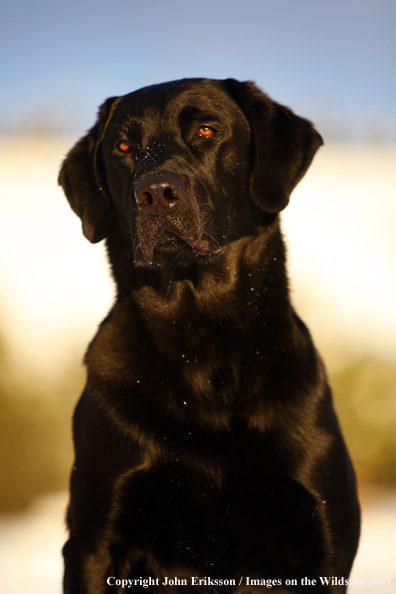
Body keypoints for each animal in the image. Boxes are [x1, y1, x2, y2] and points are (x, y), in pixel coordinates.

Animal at [58, 80, 358, 592]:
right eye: (123, 147)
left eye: (206, 130)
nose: (156, 193)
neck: (204, 343)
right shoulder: (94, 543)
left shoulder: (323, 541)